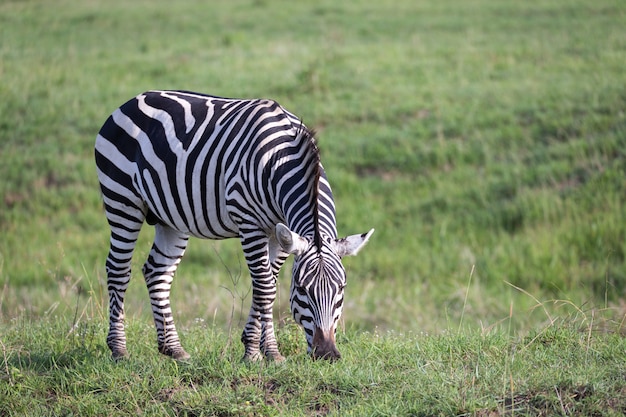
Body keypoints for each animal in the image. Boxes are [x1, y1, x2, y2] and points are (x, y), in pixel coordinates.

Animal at [92, 89, 370, 360]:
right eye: (302, 289)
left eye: (342, 288)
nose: (327, 354)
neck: (280, 159)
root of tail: (132, 100)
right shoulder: (250, 225)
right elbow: (264, 288)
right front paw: (259, 353)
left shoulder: (280, 234)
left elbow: (269, 284)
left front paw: (261, 348)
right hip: (122, 200)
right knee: (118, 269)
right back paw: (119, 349)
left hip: (170, 217)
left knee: (157, 271)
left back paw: (173, 348)